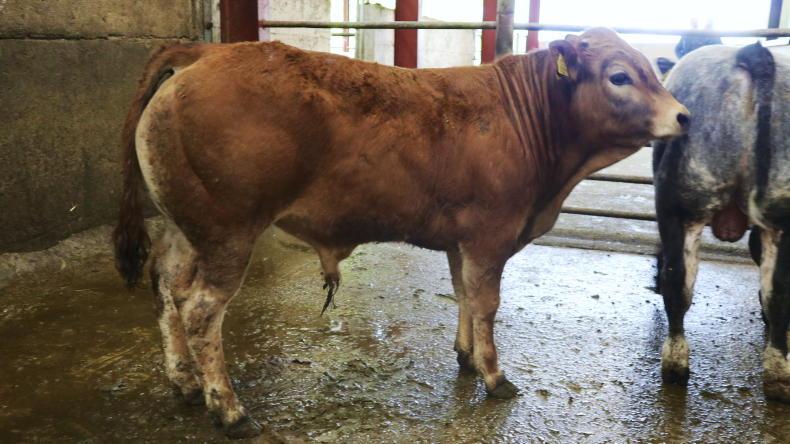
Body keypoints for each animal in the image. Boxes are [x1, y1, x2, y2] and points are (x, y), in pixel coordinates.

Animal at [113, 28, 688, 438]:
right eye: (619, 76)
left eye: (651, 68)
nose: (684, 116)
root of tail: (205, 51)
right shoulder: (489, 237)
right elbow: (486, 304)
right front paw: (494, 376)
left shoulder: (462, 241)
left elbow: (463, 296)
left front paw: (465, 357)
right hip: (228, 232)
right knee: (201, 310)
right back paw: (228, 409)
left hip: (182, 226)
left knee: (167, 290)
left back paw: (184, 380)